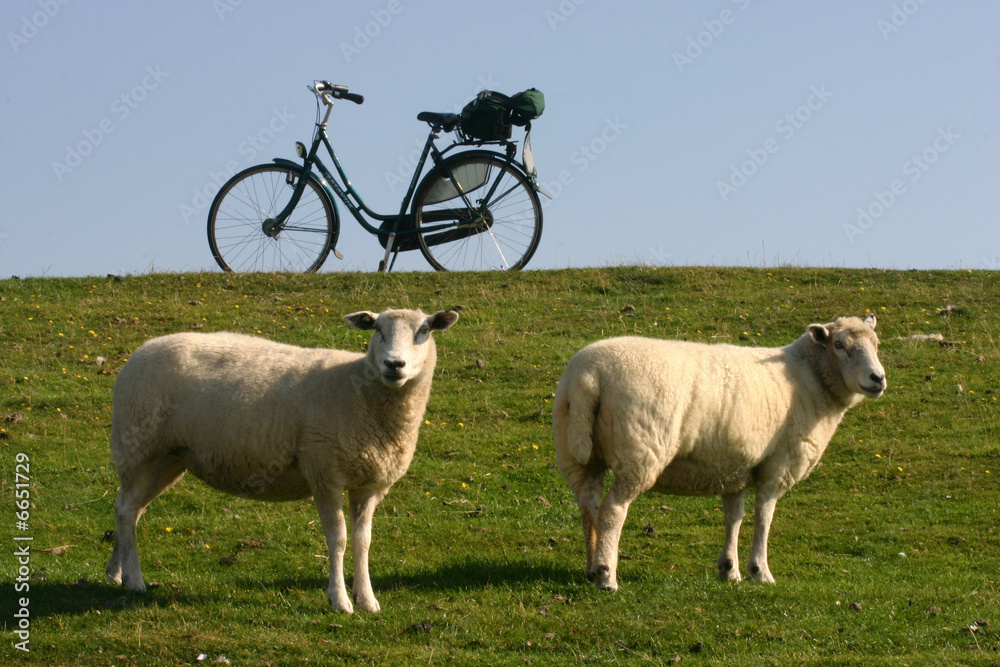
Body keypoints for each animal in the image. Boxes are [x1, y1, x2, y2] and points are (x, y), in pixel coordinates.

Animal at [105, 308, 458, 613]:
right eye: (378, 330)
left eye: (423, 330)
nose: (394, 364)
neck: (361, 390)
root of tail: (142, 349)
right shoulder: (324, 473)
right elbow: (339, 540)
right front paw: (339, 600)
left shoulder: (369, 484)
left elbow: (363, 541)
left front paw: (367, 599)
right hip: (138, 446)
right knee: (125, 510)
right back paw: (135, 581)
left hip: (167, 459)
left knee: (131, 510)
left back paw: (116, 573)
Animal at [552, 314, 885, 591]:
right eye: (839, 345)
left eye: (876, 344)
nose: (878, 379)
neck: (809, 377)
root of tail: (589, 376)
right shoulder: (779, 464)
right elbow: (764, 516)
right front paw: (760, 571)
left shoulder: (735, 467)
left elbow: (734, 517)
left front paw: (729, 570)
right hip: (639, 451)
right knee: (613, 510)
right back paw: (607, 576)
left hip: (576, 452)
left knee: (589, 504)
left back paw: (592, 566)